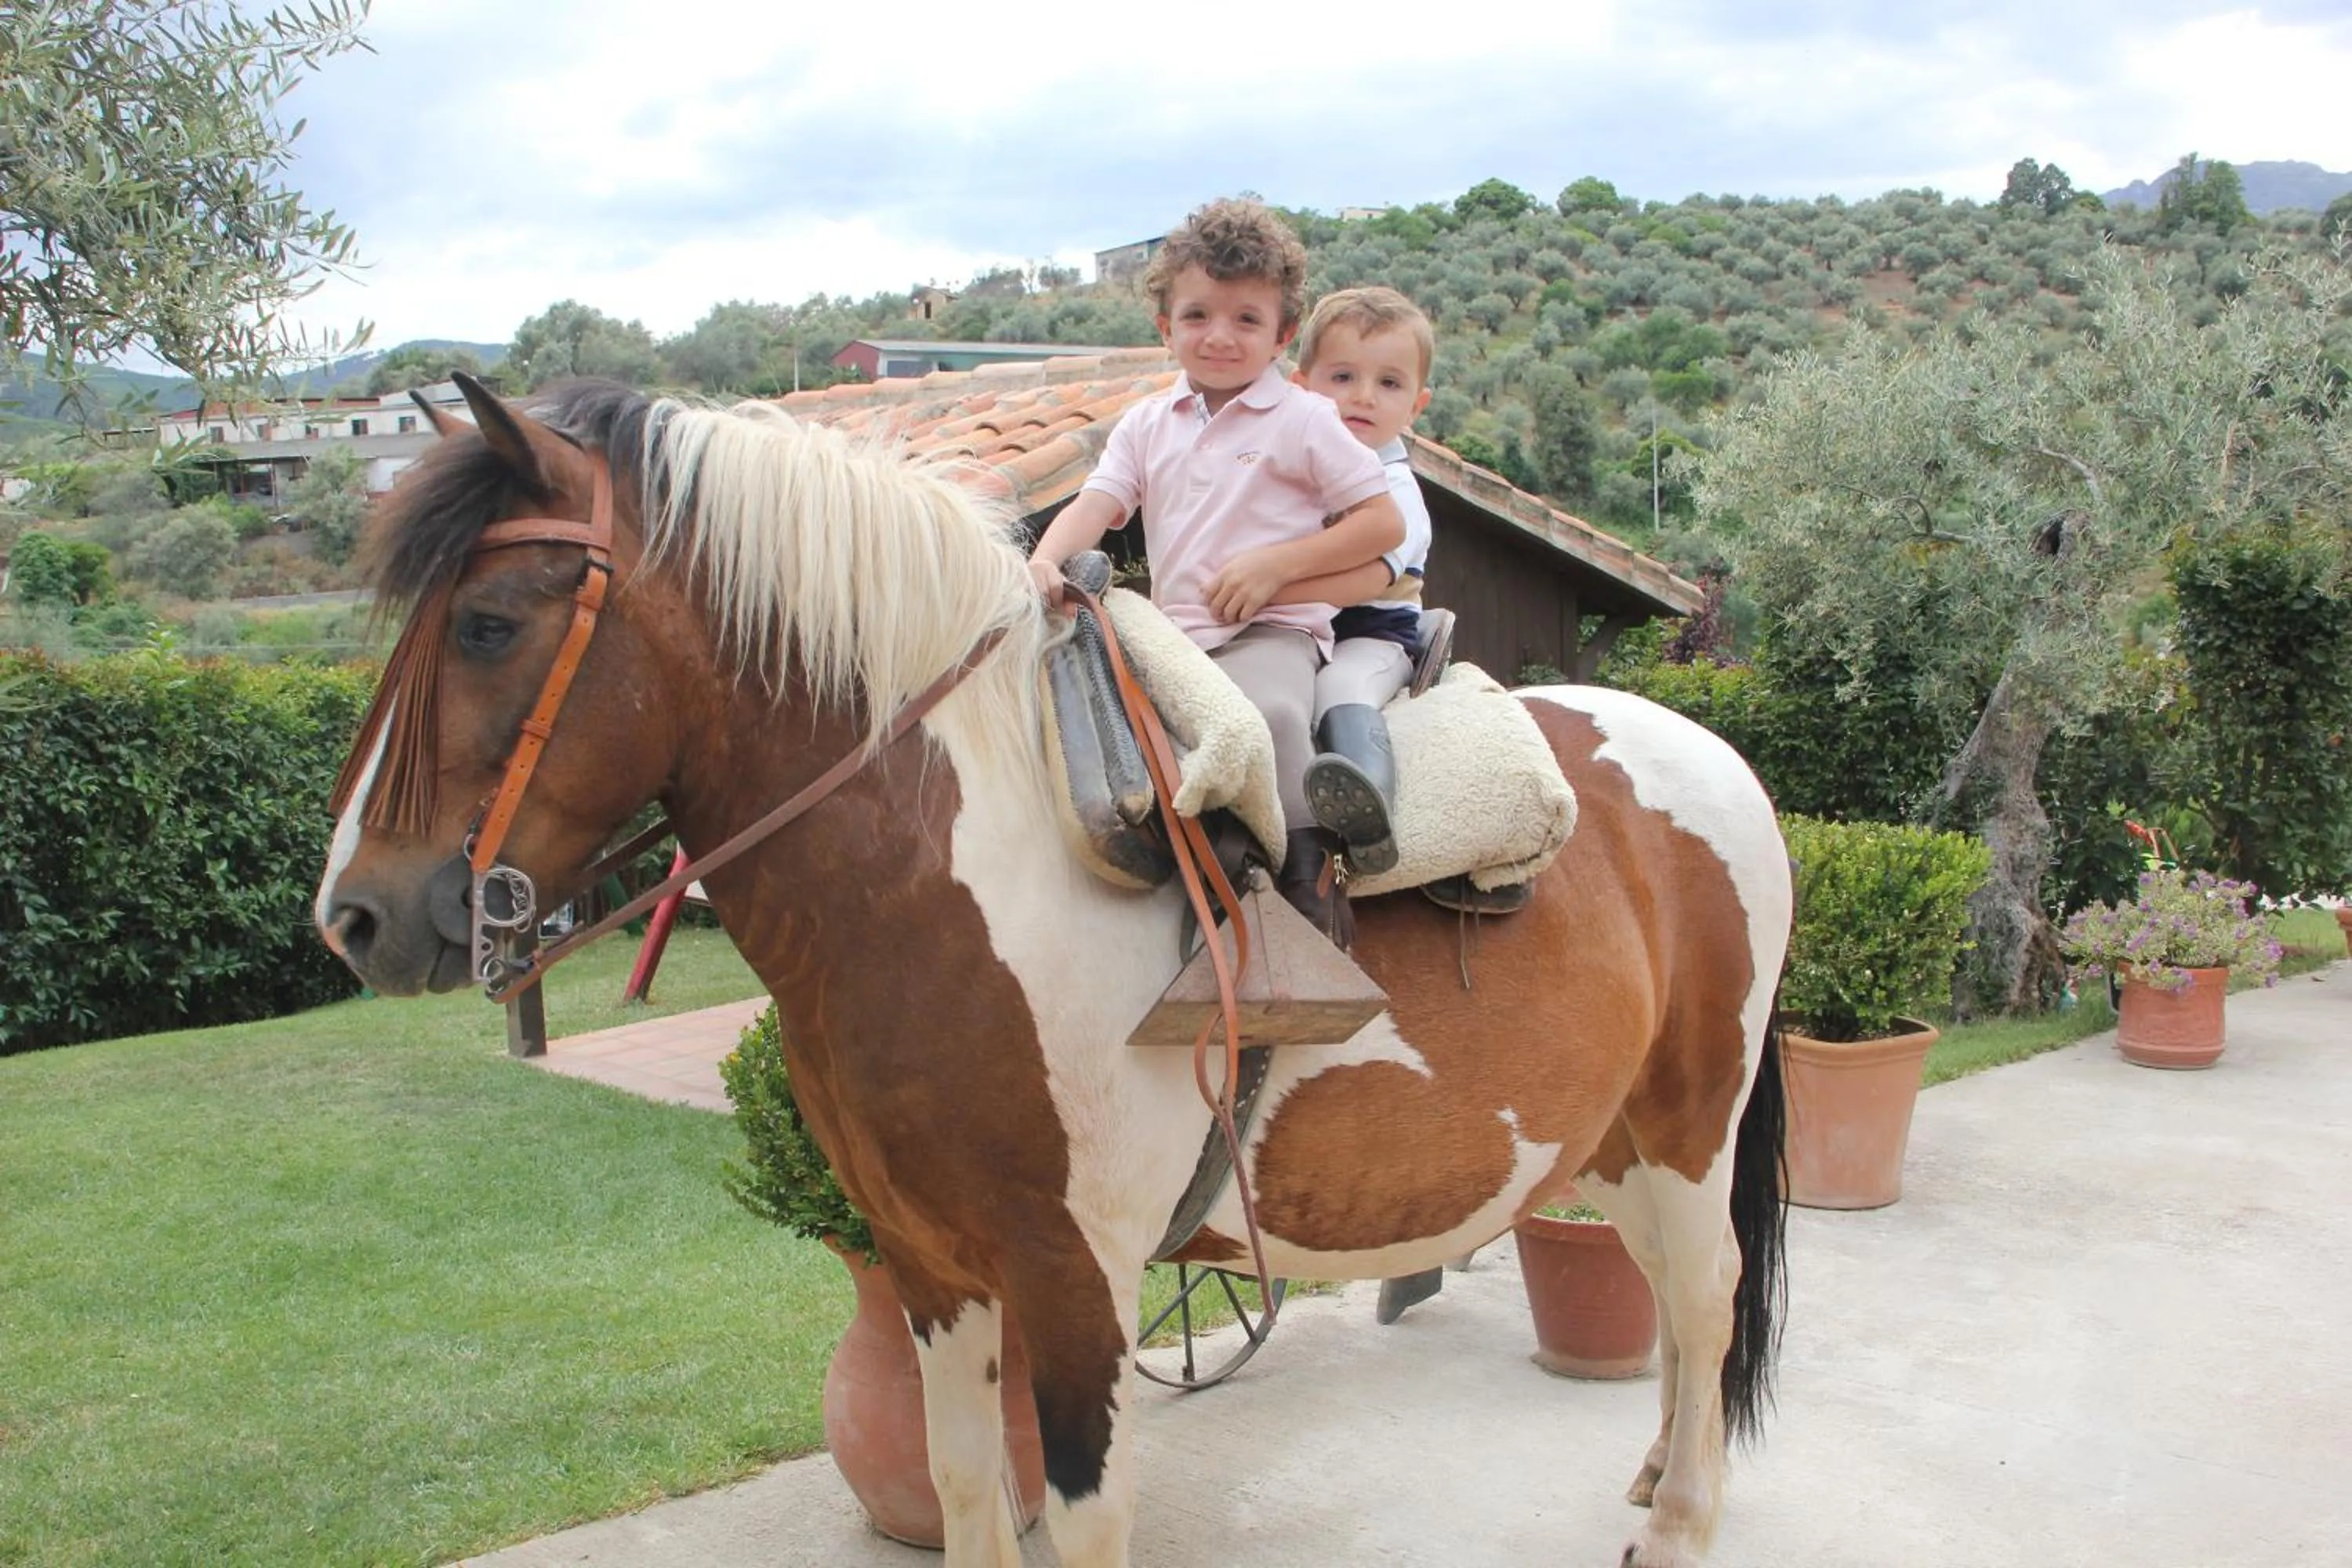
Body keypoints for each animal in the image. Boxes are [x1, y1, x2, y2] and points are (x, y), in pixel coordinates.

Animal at [313, 374, 1794, 1568]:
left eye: (489, 624)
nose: (354, 917)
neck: (951, 871)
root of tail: (1714, 756)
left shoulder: (1077, 1282)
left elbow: (1079, 1515)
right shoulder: (932, 1269)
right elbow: (968, 1486)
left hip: (1689, 1124)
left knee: (1709, 1296)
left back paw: (1679, 1521)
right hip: (1610, 1139)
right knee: (1674, 1303)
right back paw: (1652, 1466)